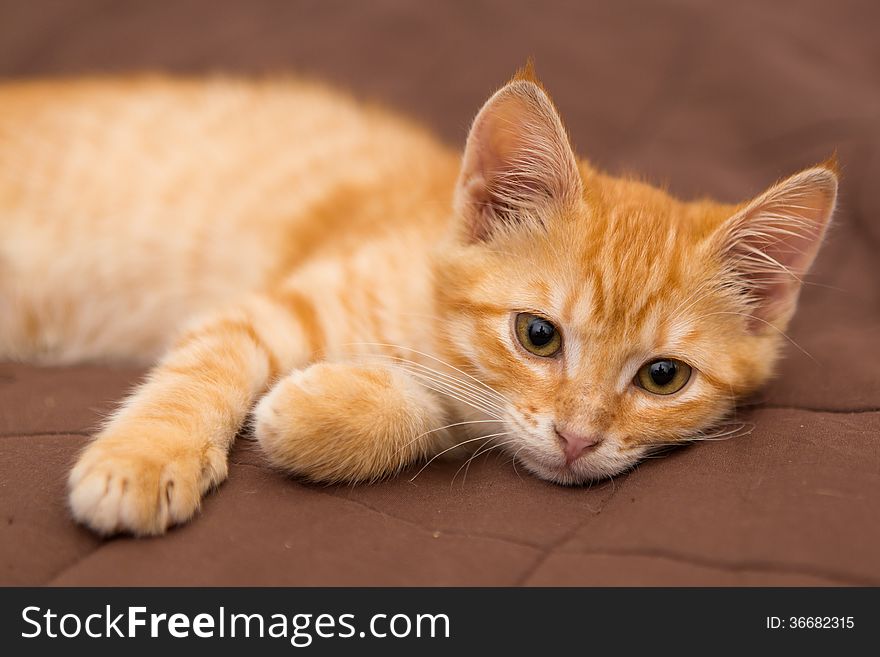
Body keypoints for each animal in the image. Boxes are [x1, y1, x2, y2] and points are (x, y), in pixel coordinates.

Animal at [0, 69, 836, 536]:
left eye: (664, 377)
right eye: (538, 334)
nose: (578, 439)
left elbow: (435, 417)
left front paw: (310, 414)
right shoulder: (268, 307)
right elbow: (206, 364)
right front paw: (144, 458)